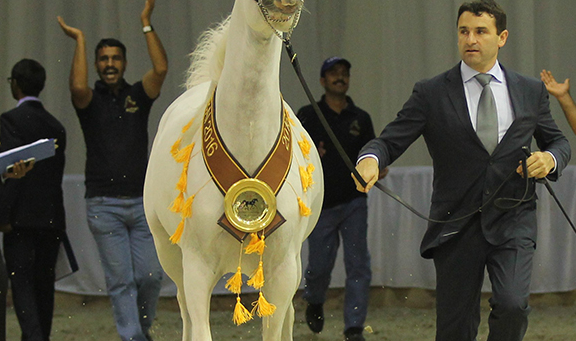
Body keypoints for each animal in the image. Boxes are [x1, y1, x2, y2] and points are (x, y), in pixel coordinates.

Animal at [143, 0, 324, 338]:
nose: (287, 4)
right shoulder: (196, 268)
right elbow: (200, 329)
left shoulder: (282, 270)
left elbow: (275, 326)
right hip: (169, 254)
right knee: (185, 312)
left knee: (289, 315)